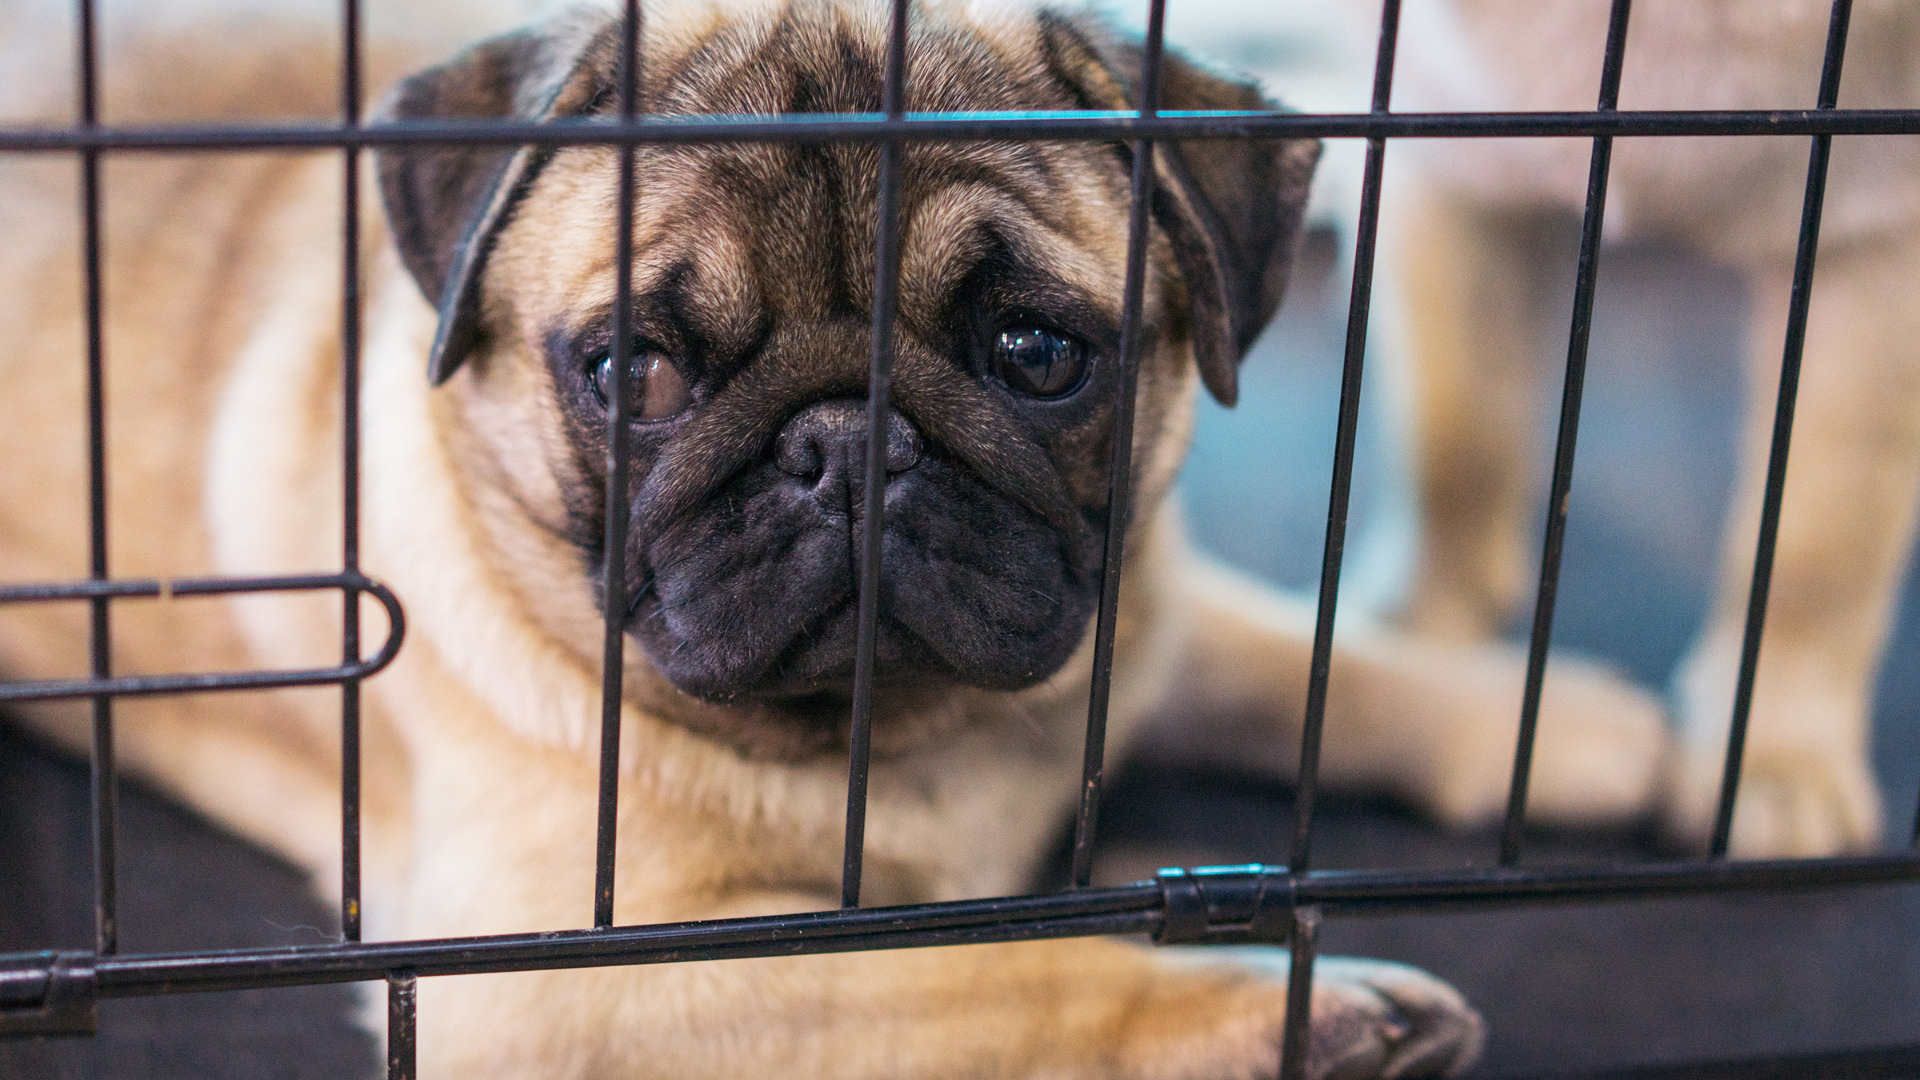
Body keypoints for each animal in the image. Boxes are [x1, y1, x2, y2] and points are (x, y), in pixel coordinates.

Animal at [0, 0, 1681, 1068]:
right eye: (637, 370)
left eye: (1037, 354)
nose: (847, 444)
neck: (895, 738)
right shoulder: (575, 985)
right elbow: (994, 968)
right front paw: (1293, 1010)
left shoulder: (1137, 614)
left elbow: (1308, 659)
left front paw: (1542, 723)